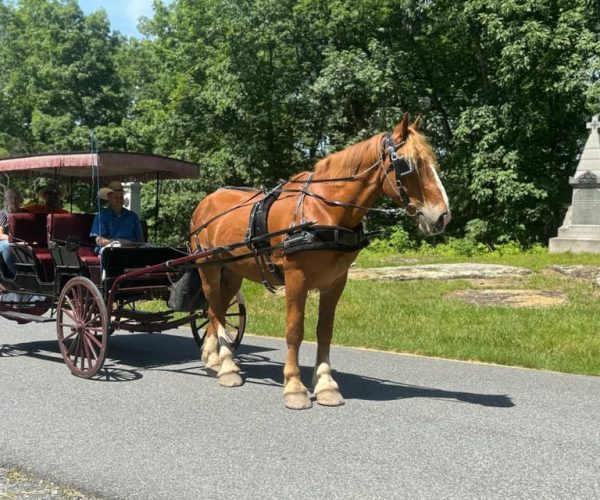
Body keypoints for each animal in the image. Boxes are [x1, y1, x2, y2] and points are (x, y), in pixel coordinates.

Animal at [190, 115, 448, 408]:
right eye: (408, 164)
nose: (442, 216)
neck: (325, 211)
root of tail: (206, 201)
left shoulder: (335, 282)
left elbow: (325, 331)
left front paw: (326, 384)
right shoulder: (295, 278)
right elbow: (294, 331)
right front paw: (294, 386)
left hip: (233, 271)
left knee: (216, 310)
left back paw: (215, 359)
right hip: (208, 267)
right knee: (214, 309)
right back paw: (227, 367)